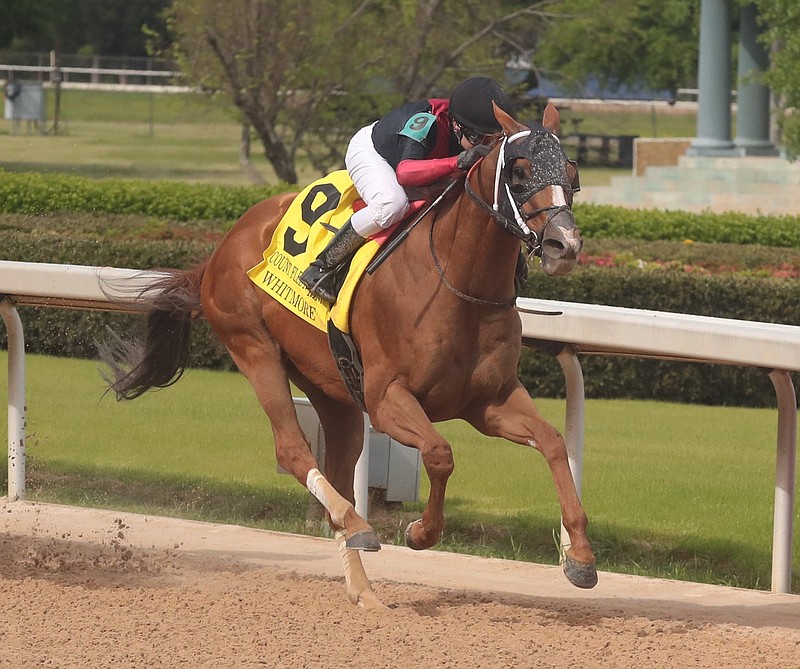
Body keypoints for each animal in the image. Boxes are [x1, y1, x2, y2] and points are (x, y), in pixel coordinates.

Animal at [101, 103, 592, 604]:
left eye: (572, 173)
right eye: (520, 171)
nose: (564, 246)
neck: (459, 284)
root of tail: (221, 248)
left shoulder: (489, 401)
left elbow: (553, 442)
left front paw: (580, 558)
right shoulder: (387, 398)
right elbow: (439, 452)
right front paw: (420, 532)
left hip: (330, 389)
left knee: (338, 465)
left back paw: (363, 587)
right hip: (254, 347)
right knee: (294, 450)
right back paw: (357, 524)